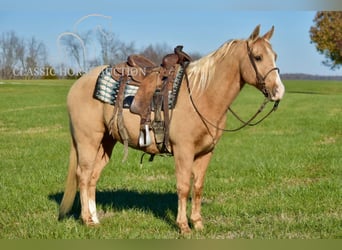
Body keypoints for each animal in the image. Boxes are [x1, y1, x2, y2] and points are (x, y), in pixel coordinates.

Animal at [58, 24, 284, 233]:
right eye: (257, 57)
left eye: (275, 56)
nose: (279, 91)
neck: (202, 95)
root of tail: (78, 83)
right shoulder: (184, 151)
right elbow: (183, 187)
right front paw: (183, 226)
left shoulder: (206, 153)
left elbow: (198, 187)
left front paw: (198, 224)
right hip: (88, 140)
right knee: (83, 175)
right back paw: (87, 220)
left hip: (106, 142)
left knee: (93, 177)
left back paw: (96, 219)